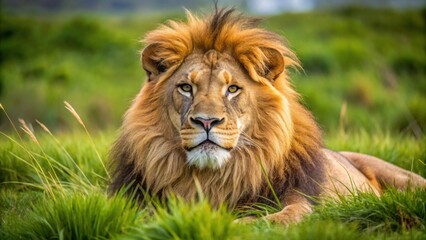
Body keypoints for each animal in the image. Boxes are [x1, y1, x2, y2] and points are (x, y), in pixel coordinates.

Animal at [110, 7, 426, 225]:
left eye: (232, 89)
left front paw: (239, 223)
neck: (212, 179)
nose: (207, 121)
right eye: (186, 87)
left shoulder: (303, 196)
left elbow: (286, 216)